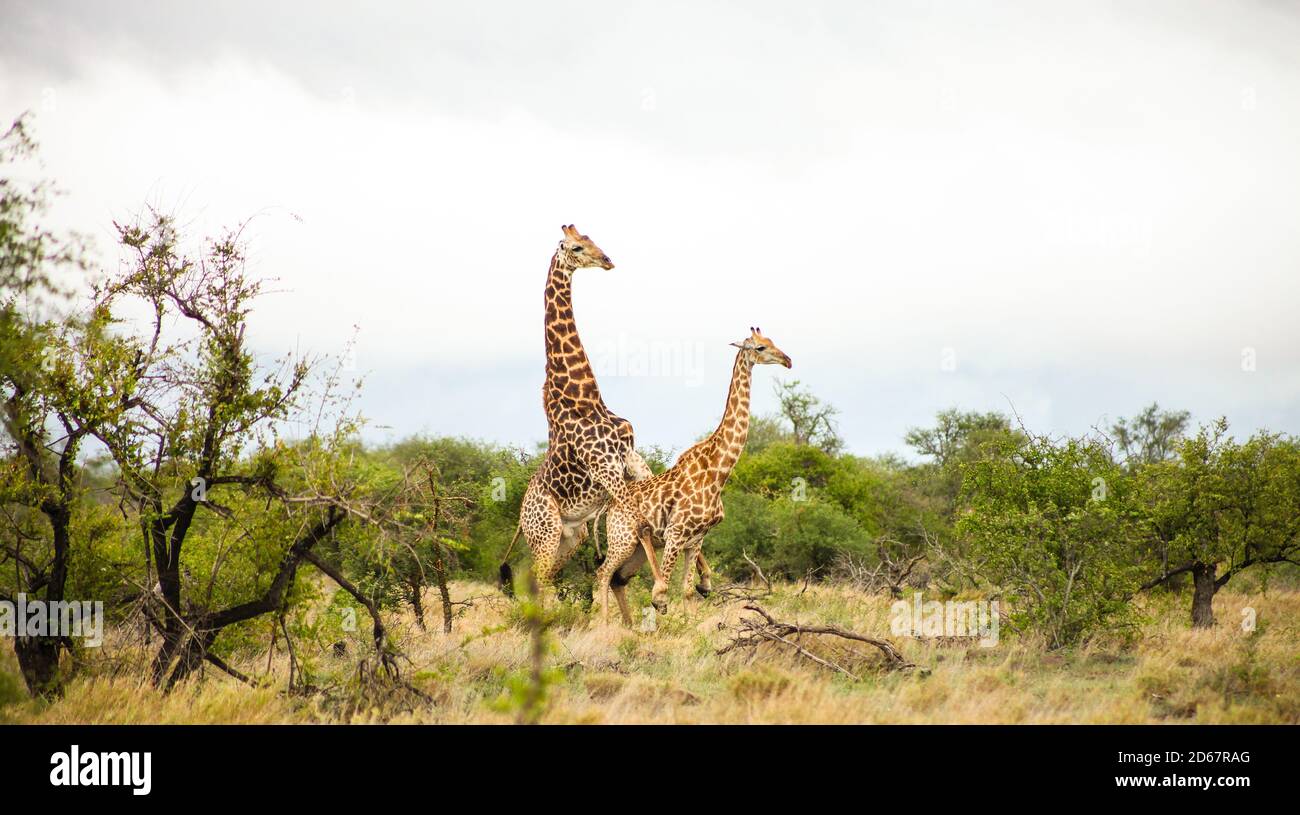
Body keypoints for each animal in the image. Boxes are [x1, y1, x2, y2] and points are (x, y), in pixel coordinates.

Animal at [500, 225, 657, 592]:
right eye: (576, 247)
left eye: (592, 240)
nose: (607, 260)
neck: (585, 396)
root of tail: (520, 518)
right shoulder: (606, 468)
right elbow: (641, 524)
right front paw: (663, 589)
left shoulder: (631, 458)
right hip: (545, 533)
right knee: (539, 579)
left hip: (572, 536)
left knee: (545, 579)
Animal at [594, 328, 792, 624]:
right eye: (760, 347)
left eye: (772, 341)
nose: (787, 360)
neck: (717, 472)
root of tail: (607, 506)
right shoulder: (676, 534)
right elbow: (662, 593)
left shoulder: (696, 539)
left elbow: (687, 591)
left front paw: (690, 627)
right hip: (623, 540)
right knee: (603, 573)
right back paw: (606, 625)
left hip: (636, 551)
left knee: (618, 579)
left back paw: (627, 625)